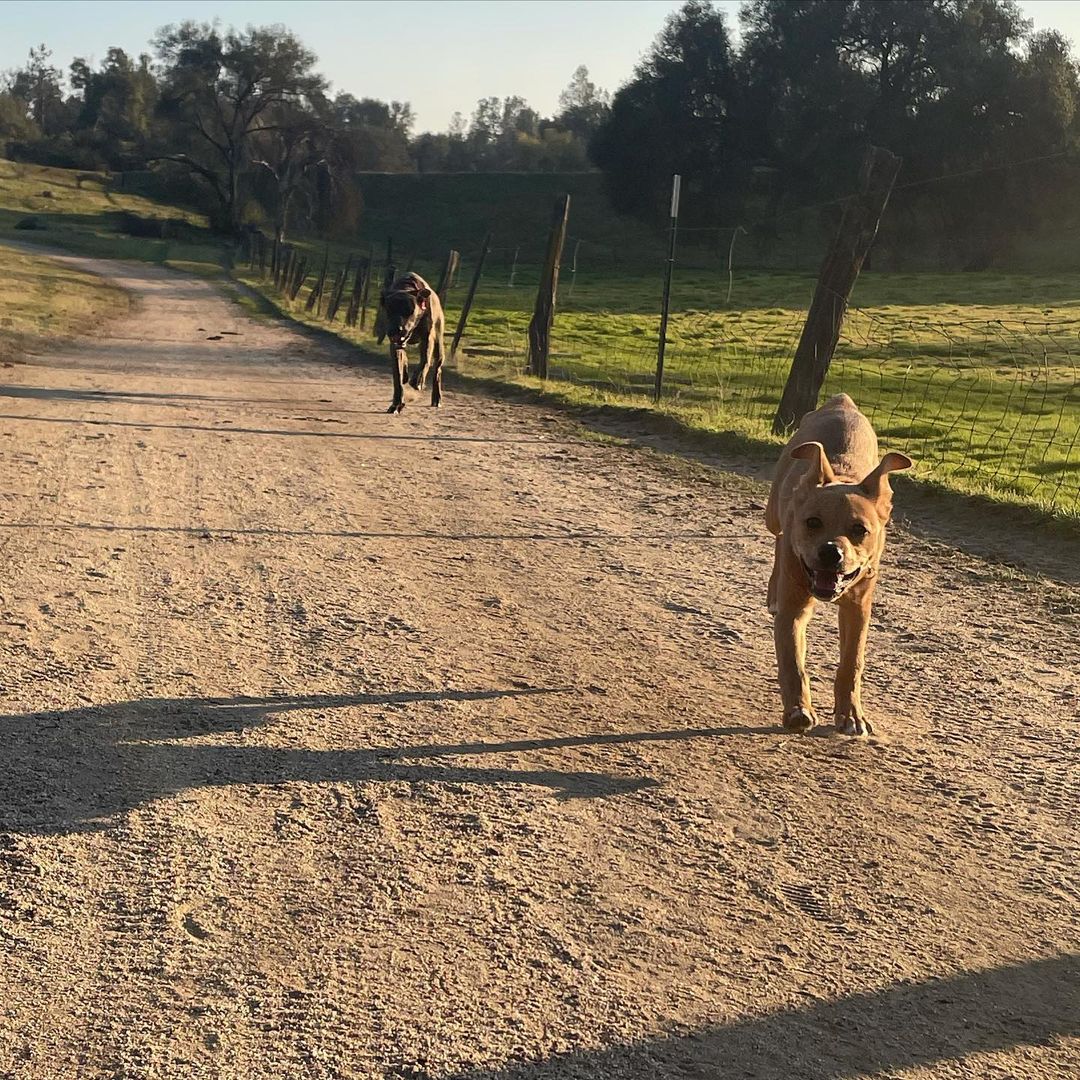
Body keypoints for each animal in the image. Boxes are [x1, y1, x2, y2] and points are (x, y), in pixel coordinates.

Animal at [768, 393, 911, 738]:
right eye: (812, 522)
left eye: (860, 529)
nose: (831, 552)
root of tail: (841, 401)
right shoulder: (794, 608)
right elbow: (792, 661)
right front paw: (798, 710)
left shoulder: (858, 607)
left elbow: (851, 663)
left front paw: (851, 715)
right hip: (773, 514)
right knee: (778, 539)